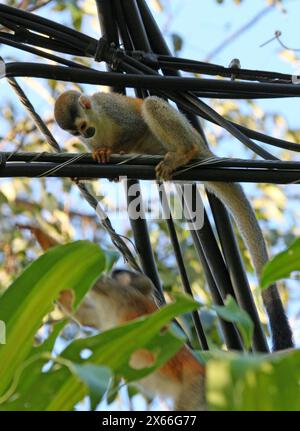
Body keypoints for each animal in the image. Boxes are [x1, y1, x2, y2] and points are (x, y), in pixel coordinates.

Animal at [54, 91, 292, 352]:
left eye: (83, 126)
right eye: (76, 133)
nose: (86, 134)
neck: (97, 119)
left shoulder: (111, 108)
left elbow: (134, 128)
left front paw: (115, 150)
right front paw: (98, 162)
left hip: (190, 135)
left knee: (151, 105)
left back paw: (184, 152)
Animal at [72, 270, 206, 412]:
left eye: (115, 275)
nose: (112, 274)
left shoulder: (124, 292)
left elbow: (97, 284)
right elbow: (83, 316)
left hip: (196, 387)